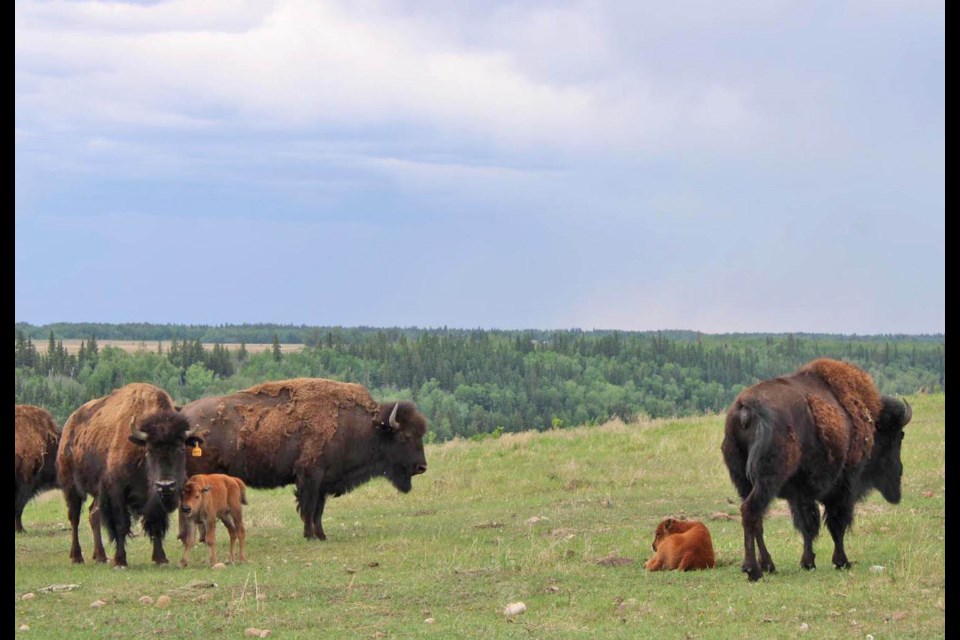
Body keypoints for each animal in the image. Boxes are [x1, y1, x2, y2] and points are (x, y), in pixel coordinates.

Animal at [56, 382, 204, 568]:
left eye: (182, 449)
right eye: (149, 450)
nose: (165, 485)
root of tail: (69, 424)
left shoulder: (154, 500)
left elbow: (156, 523)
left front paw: (160, 558)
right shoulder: (116, 493)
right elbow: (120, 525)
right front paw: (120, 561)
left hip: (97, 493)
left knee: (93, 515)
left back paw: (100, 556)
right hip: (71, 488)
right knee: (75, 518)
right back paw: (77, 557)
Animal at [182, 380, 430, 540]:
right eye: (406, 436)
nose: (422, 466)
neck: (363, 427)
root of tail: (184, 414)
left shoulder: (323, 482)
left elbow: (318, 510)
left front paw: (321, 535)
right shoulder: (310, 476)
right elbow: (309, 508)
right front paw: (309, 535)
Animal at [724, 358, 912, 584]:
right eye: (898, 435)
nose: (899, 472)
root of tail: (746, 410)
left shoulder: (801, 493)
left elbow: (808, 525)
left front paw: (808, 562)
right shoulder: (844, 486)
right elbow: (836, 523)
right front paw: (841, 561)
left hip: (743, 482)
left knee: (756, 518)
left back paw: (769, 565)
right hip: (766, 482)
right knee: (751, 511)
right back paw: (753, 570)